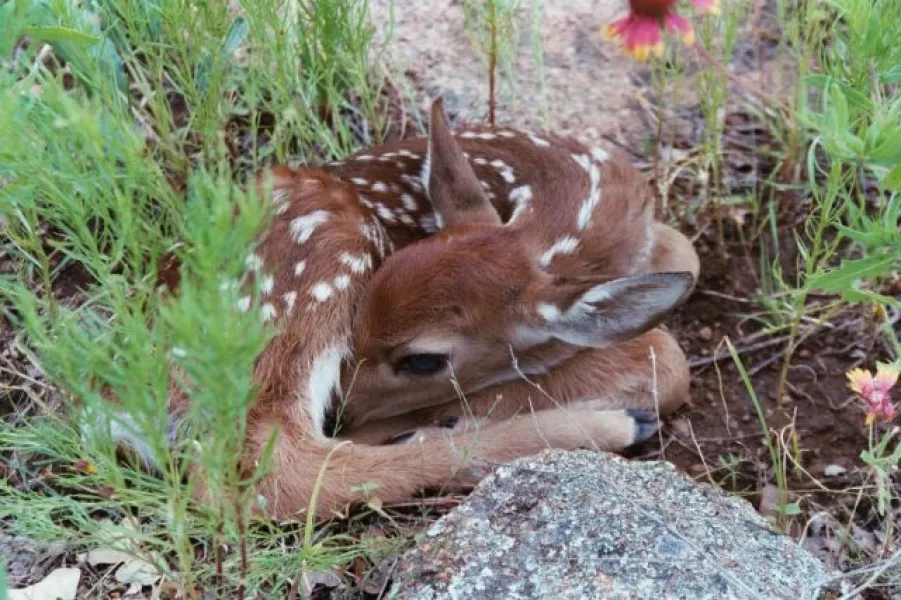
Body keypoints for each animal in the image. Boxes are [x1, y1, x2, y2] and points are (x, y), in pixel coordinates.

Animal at [113, 98, 700, 522]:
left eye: (422, 360)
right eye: (361, 314)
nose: (343, 410)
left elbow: (684, 256)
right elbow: (664, 355)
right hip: (320, 256)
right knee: (270, 471)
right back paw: (616, 425)